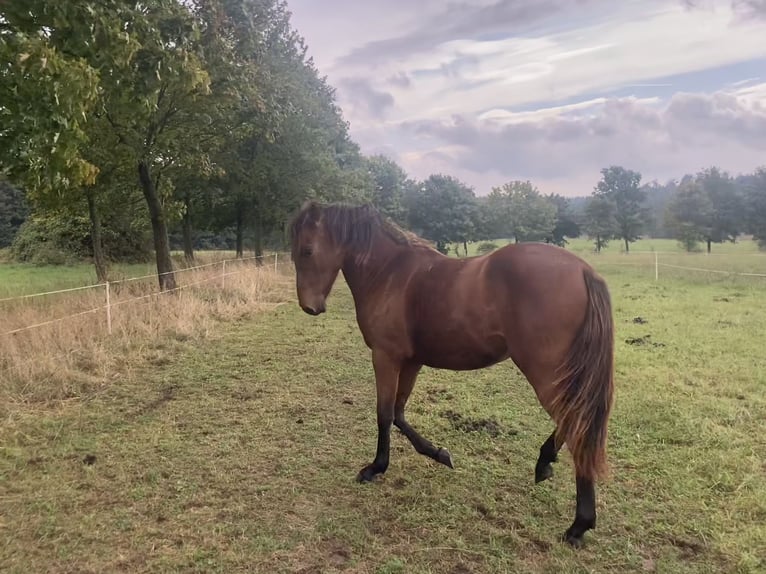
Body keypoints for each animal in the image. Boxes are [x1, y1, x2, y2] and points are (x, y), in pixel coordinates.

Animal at [288, 202, 616, 548]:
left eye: (307, 250)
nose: (309, 307)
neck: (390, 273)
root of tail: (584, 271)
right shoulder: (411, 361)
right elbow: (399, 414)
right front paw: (439, 454)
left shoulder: (385, 357)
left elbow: (384, 414)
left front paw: (375, 468)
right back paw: (546, 466)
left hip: (547, 374)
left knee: (576, 427)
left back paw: (578, 524)